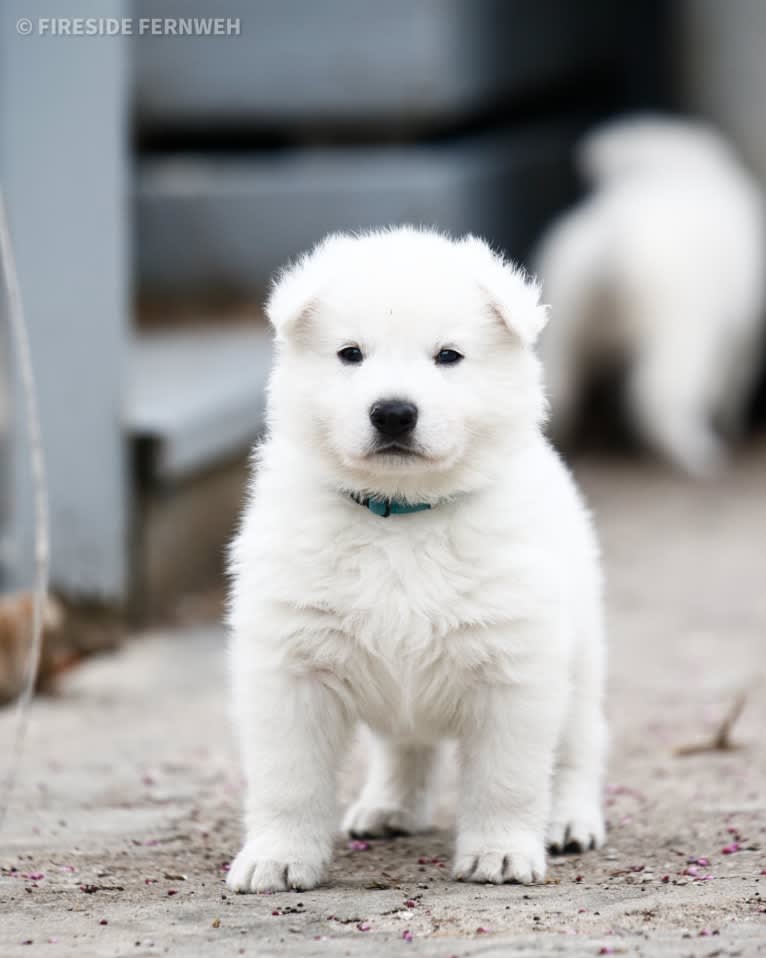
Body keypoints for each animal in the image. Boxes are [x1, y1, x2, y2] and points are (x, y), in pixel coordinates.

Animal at [225, 229, 608, 896]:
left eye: (448, 356)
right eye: (350, 354)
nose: (394, 412)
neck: (400, 515)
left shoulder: (515, 668)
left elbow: (505, 779)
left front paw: (500, 852)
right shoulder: (290, 667)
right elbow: (289, 780)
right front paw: (277, 857)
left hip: (580, 658)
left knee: (579, 747)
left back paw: (569, 821)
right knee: (406, 748)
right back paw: (389, 808)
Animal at [536, 118, 764, 478]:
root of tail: (615, 240)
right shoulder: (740, 341)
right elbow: (732, 386)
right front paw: (729, 424)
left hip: (562, 333)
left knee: (560, 392)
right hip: (681, 338)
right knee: (656, 402)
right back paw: (698, 454)